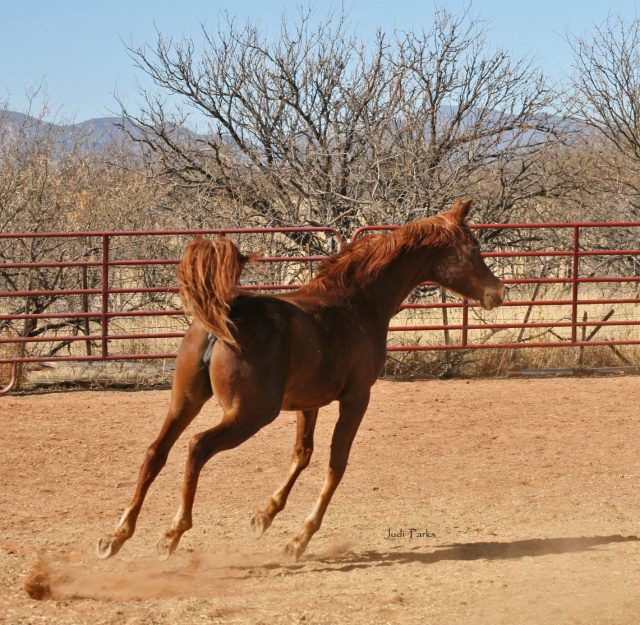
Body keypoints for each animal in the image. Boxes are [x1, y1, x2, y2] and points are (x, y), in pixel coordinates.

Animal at [96, 199, 504, 560]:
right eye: (473, 247)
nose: (498, 292)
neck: (356, 302)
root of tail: (227, 309)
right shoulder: (357, 398)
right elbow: (336, 463)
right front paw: (298, 540)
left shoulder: (309, 403)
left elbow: (302, 455)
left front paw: (264, 517)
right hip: (249, 415)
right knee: (197, 447)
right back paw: (172, 533)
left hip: (186, 401)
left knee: (156, 452)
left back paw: (116, 536)